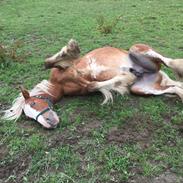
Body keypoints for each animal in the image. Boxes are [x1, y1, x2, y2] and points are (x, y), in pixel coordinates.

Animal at [2, 39, 183, 129]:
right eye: (29, 117)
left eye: (34, 103)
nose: (49, 124)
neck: (61, 83)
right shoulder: (84, 86)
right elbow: (92, 85)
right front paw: (121, 81)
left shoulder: (70, 69)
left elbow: (49, 62)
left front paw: (71, 49)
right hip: (142, 89)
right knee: (174, 87)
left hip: (138, 50)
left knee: (169, 61)